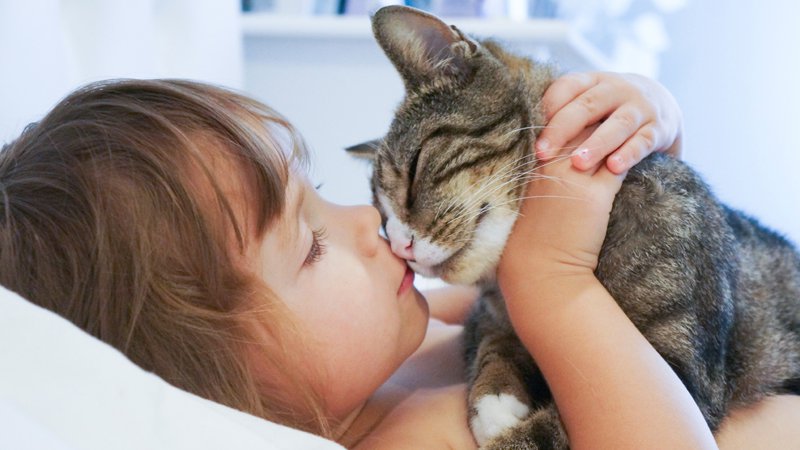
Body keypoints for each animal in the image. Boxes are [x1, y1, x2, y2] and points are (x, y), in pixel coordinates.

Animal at [348, 5, 800, 448]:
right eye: (383, 220)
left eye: (413, 170)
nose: (400, 247)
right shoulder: (486, 315)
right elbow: (490, 341)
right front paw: (494, 398)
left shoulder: (681, 371)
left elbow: (548, 432)